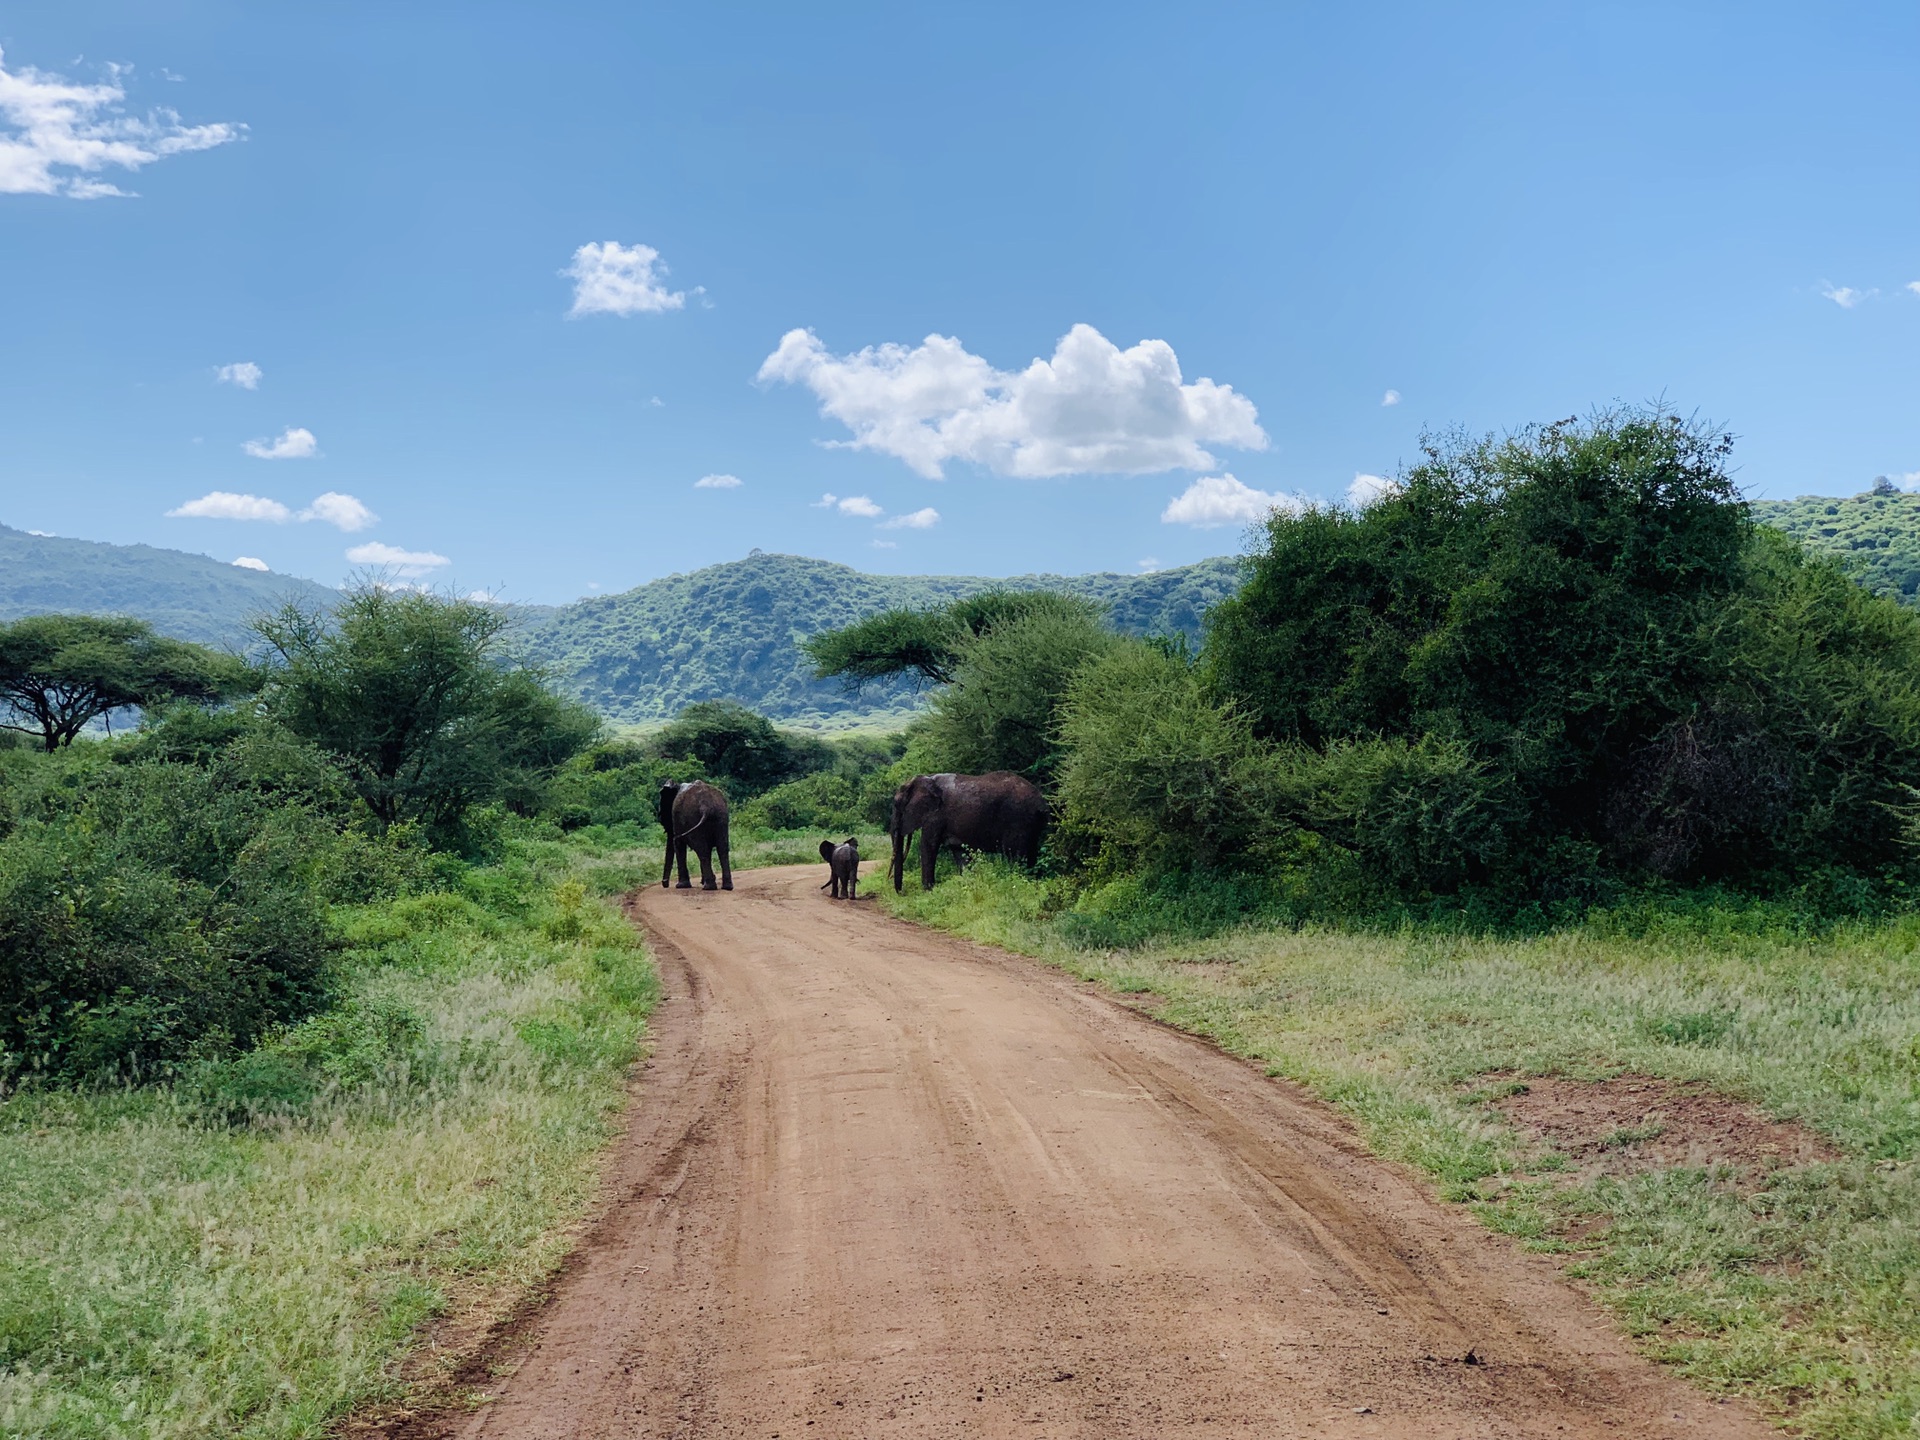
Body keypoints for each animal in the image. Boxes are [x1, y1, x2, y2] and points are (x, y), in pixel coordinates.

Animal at [887, 771, 1044, 898]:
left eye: (896, 804)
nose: (902, 893)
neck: (926, 778)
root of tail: (1042, 802)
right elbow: (960, 852)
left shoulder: (936, 815)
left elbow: (928, 845)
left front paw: (928, 893)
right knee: (1031, 856)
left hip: (1019, 819)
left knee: (1016, 857)